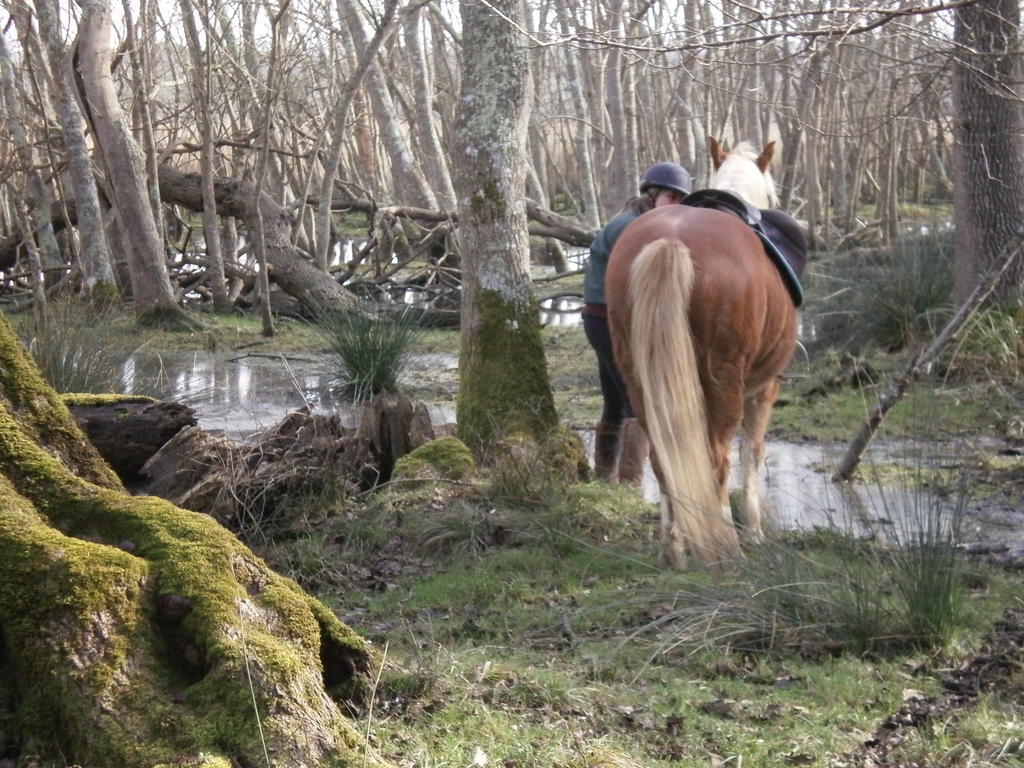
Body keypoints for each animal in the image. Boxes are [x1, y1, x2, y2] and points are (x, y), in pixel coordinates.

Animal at [602, 141, 794, 569]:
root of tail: (671, 241)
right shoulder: (764, 388)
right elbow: (752, 453)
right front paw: (754, 531)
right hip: (724, 382)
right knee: (717, 459)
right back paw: (727, 547)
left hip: (639, 378)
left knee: (663, 462)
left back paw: (672, 550)